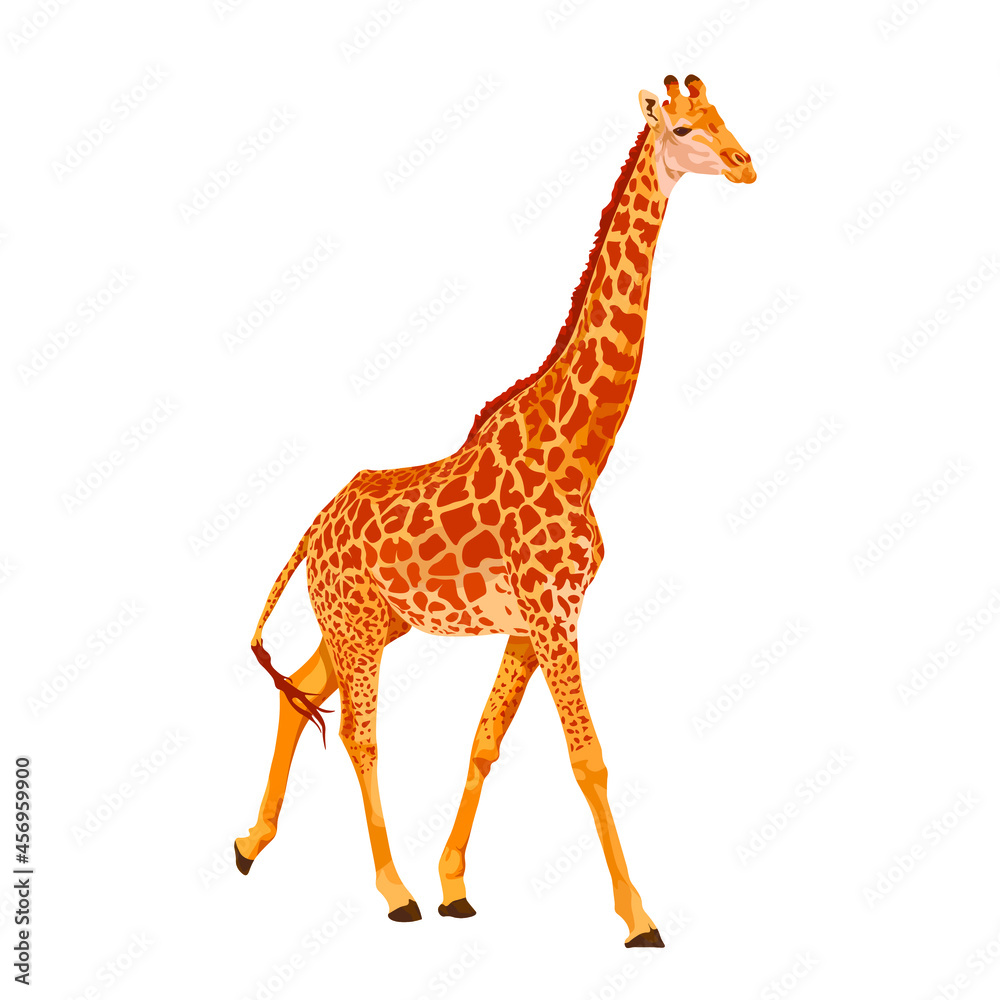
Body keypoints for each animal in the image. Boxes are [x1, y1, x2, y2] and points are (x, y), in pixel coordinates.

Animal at [235, 74, 755, 947]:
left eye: (724, 117)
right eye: (686, 129)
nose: (746, 163)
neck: (578, 451)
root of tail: (313, 526)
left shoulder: (533, 619)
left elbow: (484, 741)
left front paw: (456, 885)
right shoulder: (552, 612)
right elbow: (588, 758)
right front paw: (639, 918)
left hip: (369, 622)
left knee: (300, 689)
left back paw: (249, 845)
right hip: (356, 623)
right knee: (360, 735)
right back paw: (392, 891)